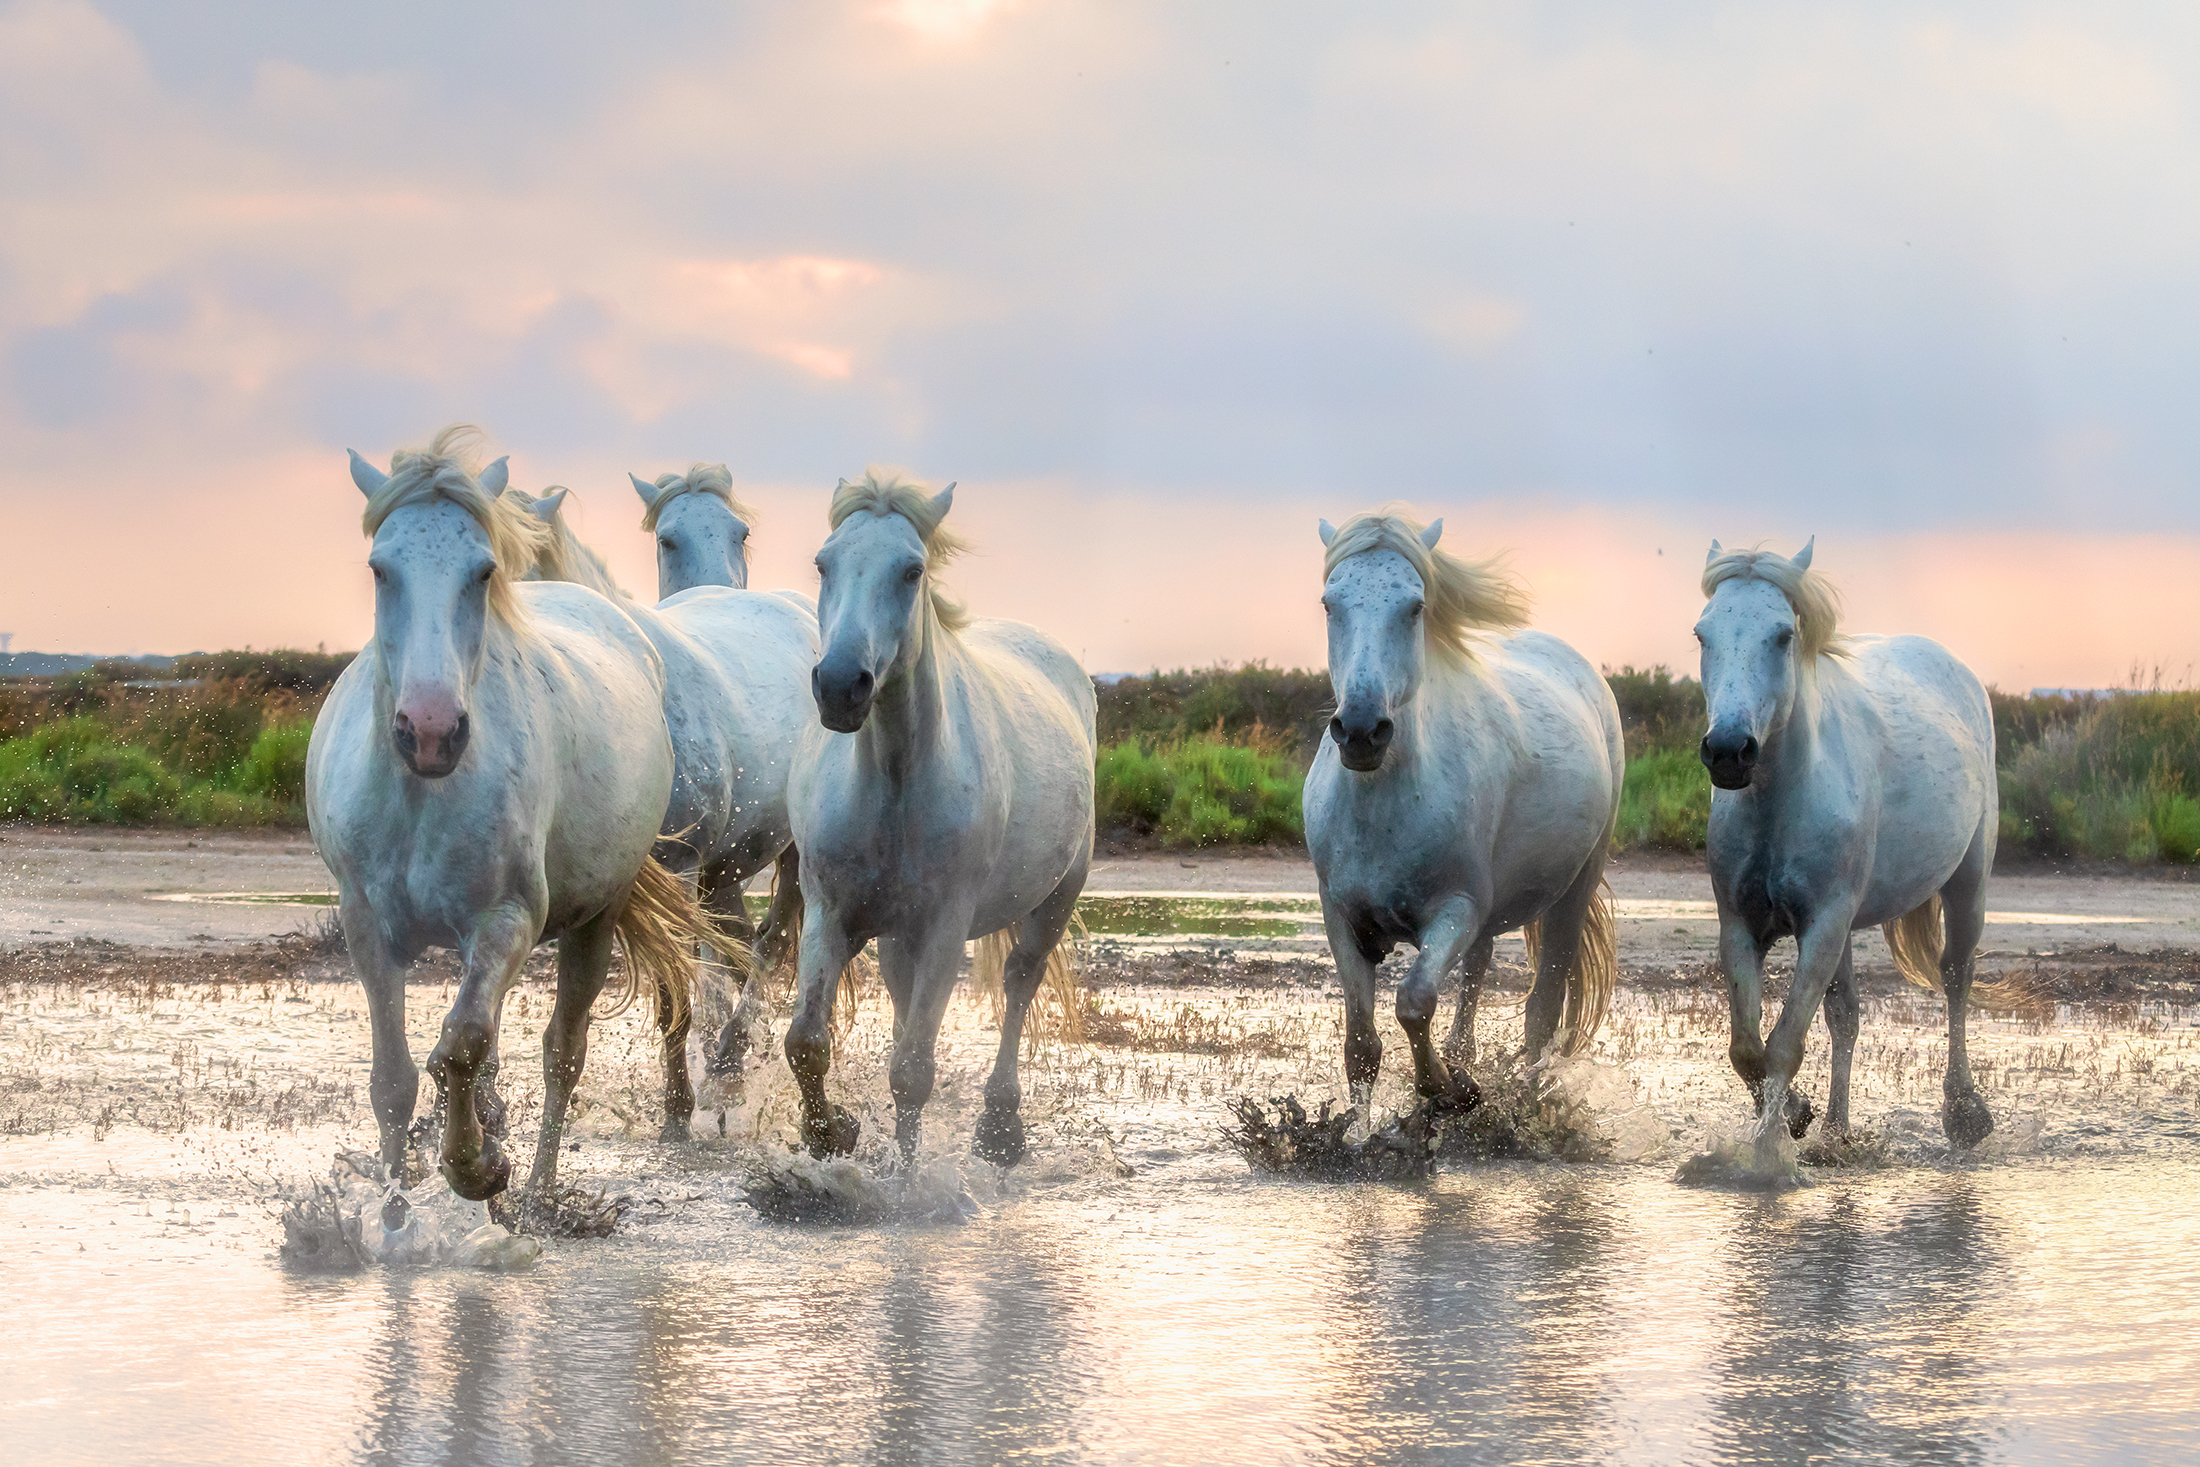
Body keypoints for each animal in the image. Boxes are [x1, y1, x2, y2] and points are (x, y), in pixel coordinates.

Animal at [306, 427, 728, 1209]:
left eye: (481, 572)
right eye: (381, 569)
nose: (431, 731)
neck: (422, 798)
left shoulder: (507, 921)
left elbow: (462, 1045)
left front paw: (478, 1166)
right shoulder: (365, 926)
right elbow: (396, 1079)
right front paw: (395, 1201)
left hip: (595, 919)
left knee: (563, 1051)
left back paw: (535, 1189)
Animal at [505, 486, 819, 1136]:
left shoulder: (674, 867)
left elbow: (677, 990)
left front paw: (678, 1108)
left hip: (789, 856)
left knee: (771, 944)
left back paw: (728, 1065)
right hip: (725, 869)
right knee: (737, 945)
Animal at [786, 470, 1095, 1164]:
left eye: (912, 570)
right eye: (823, 563)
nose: (840, 685)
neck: (894, 784)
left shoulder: (946, 926)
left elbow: (912, 1072)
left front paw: (906, 1181)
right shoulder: (828, 911)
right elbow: (807, 1042)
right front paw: (830, 1134)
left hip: (1058, 895)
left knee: (1020, 982)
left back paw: (1001, 1127)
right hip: (897, 933)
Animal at [1302, 508, 1622, 1124]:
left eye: (1415, 606)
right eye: (1330, 604)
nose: (1361, 731)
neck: (1385, 809)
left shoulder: (1455, 909)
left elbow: (1414, 1002)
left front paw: (1452, 1091)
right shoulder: (1342, 917)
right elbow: (1361, 1042)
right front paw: (1356, 1134)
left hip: (1573, 891)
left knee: (1542, 1010)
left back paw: (1524, 1104)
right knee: (1477, 978)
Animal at [1695, 540, 1998, 1164]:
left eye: (1783, 634)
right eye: (1702, 633)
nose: (1729, 751)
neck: (1782, 801)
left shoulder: (1824, 925)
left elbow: (1784, 1046)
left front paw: (1767, 1157)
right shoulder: (1742, 925)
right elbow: (1749, 1047)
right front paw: (1797, 1115)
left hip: (1967, 885)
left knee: (1956, 978)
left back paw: (1964, 1113)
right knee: (1846, 1015)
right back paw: (1836, 1130)